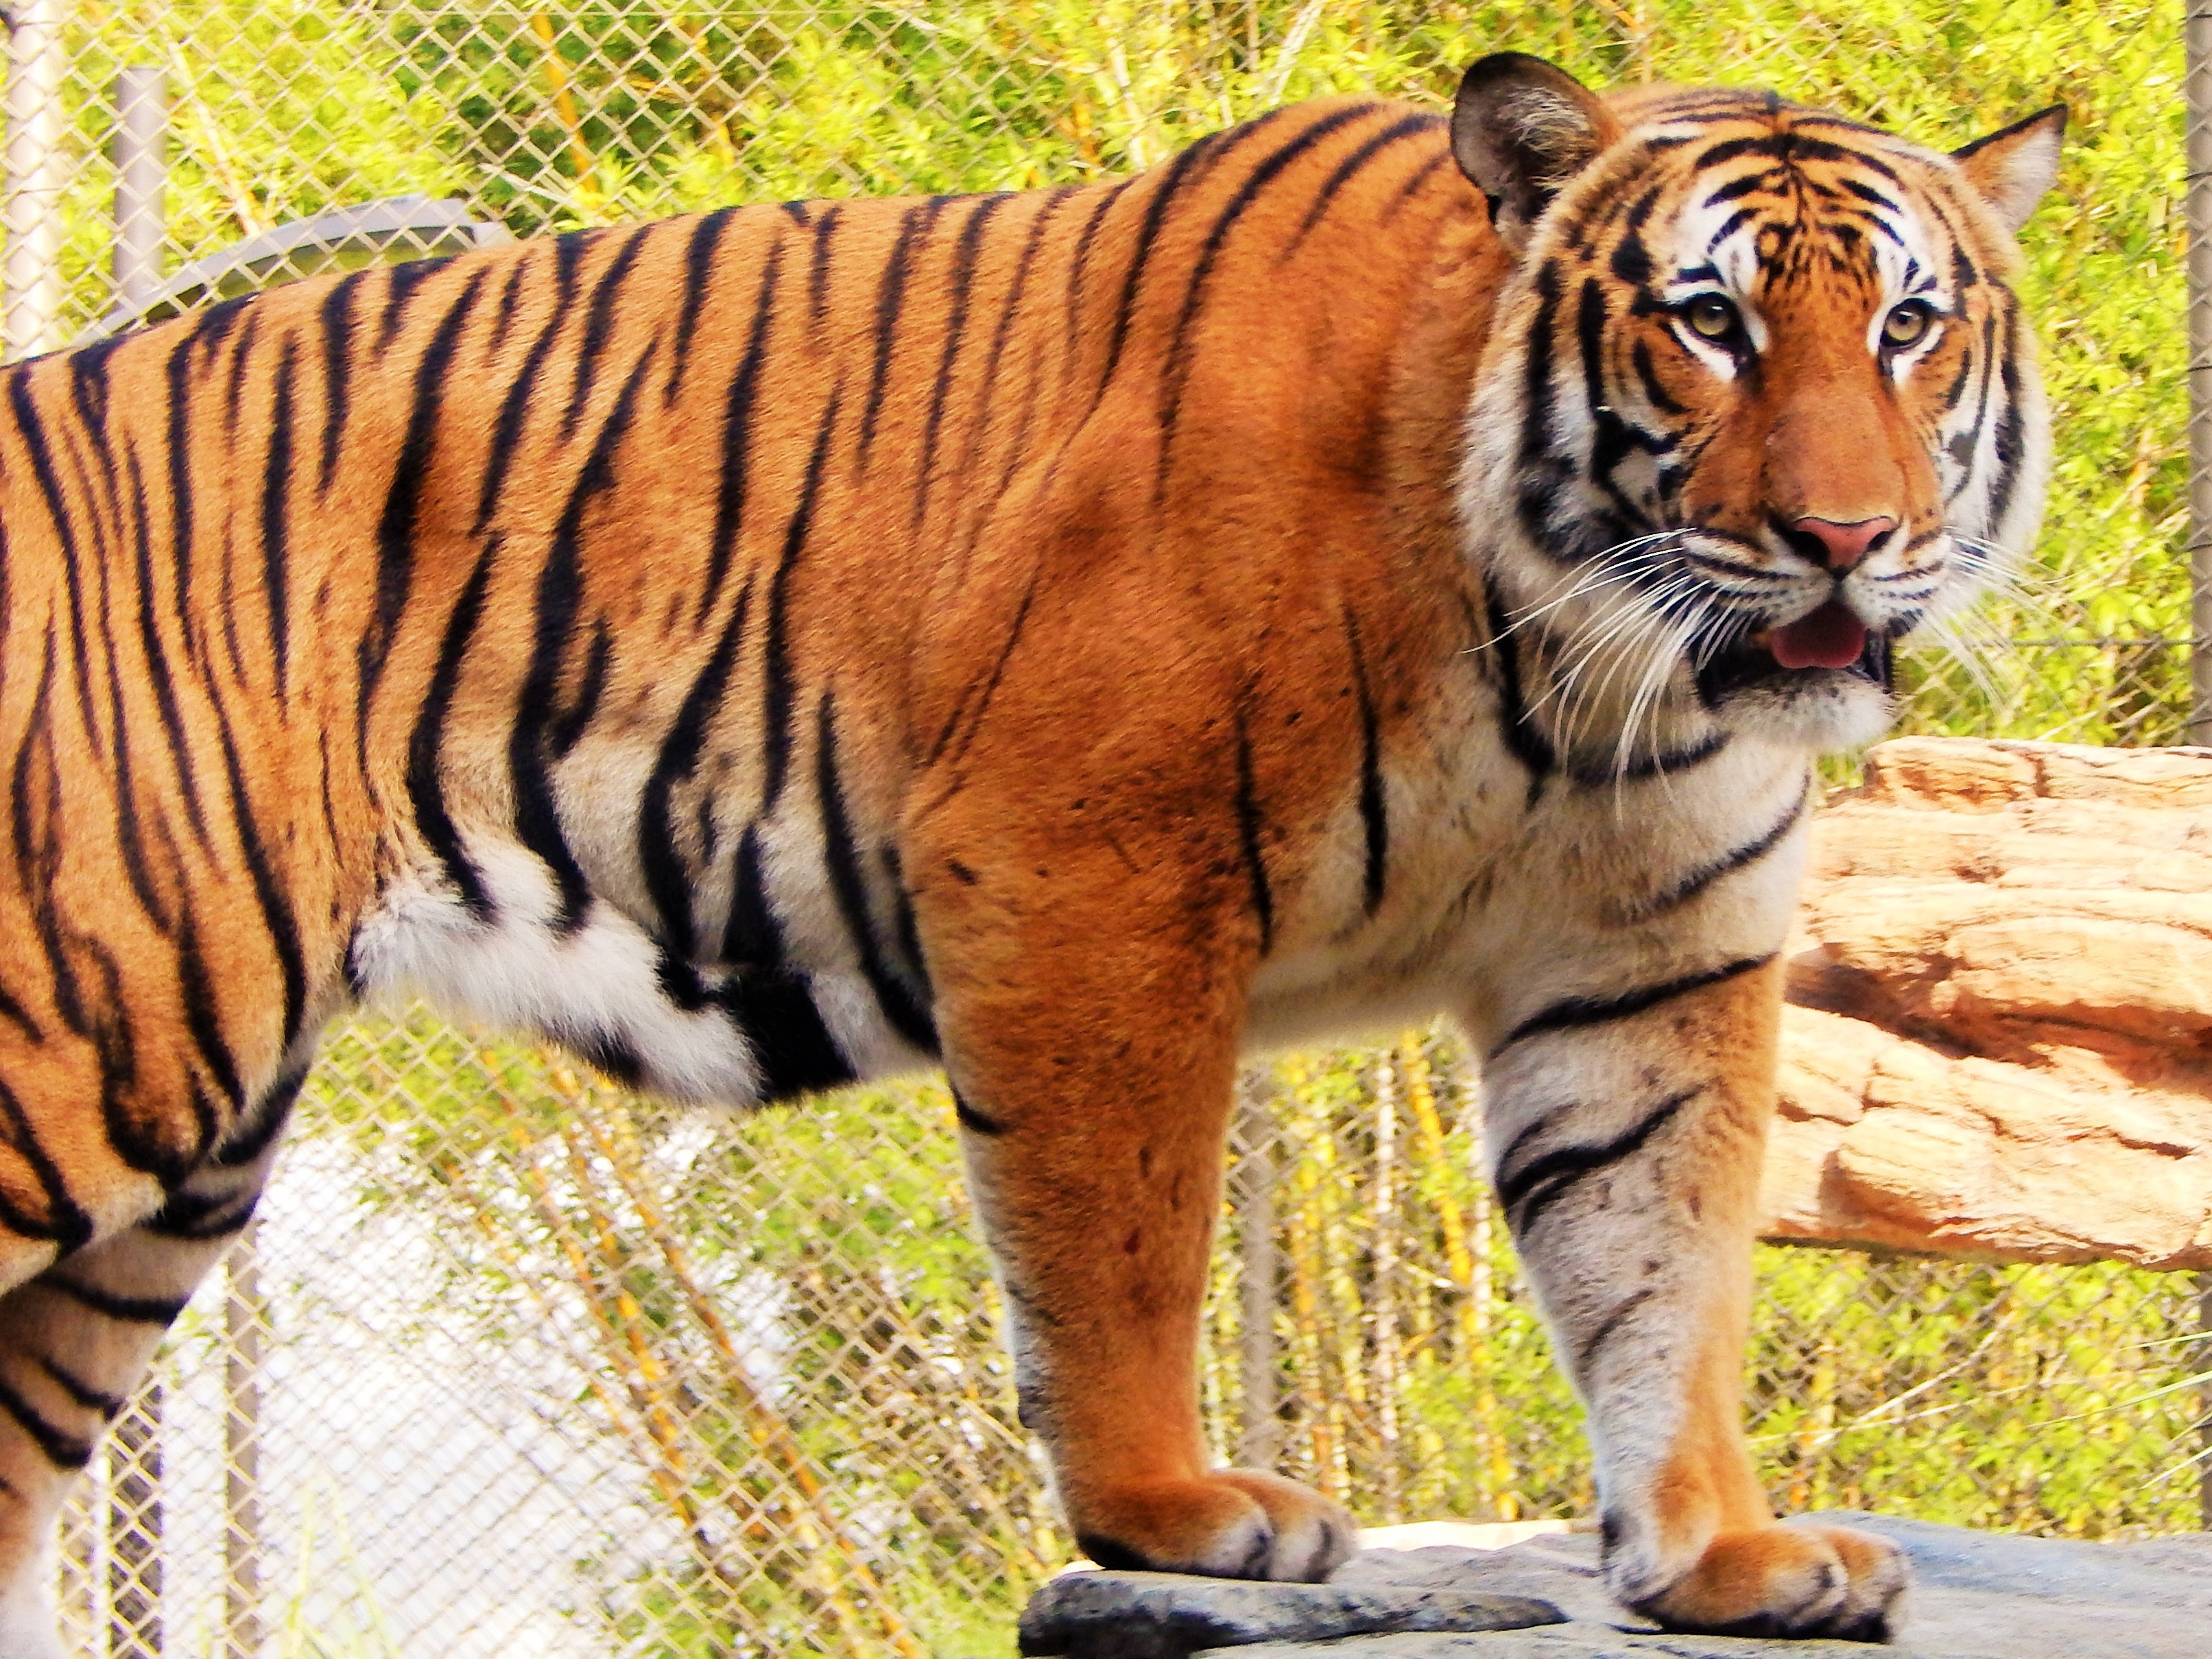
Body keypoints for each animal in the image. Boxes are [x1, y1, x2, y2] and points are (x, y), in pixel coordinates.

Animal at [0, 48, 2060, 1651]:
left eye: (1906, 326)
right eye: (1708, 324)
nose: (1846, 539)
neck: (1584, 673)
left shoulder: (1652, 954)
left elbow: (1664, 1261)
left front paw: (1718, 1549)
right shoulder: (1091, 861)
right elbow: (1120, 1235)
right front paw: (1175, 1507)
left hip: (167, 1165)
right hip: (82, 1057)